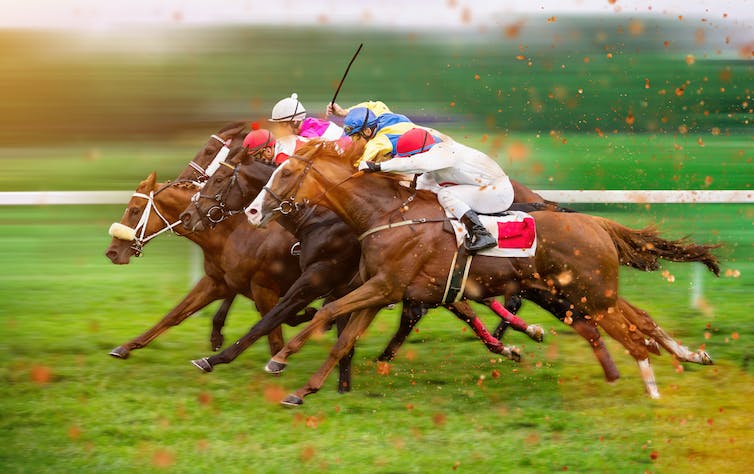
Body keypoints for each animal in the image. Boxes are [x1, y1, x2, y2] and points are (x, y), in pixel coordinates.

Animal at [245, 139, 716, 406]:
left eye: (287, 172)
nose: (252, 211)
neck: (388, 214)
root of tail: (594, 222)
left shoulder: (384, 286)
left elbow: (327, 314)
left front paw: (280, 359)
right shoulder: (382, 290)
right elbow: (343, 338)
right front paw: (304, 391)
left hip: (590, 295)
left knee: (635, 335)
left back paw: (653, 386)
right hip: (591, 293)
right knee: (641, 322)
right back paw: (687, 357)